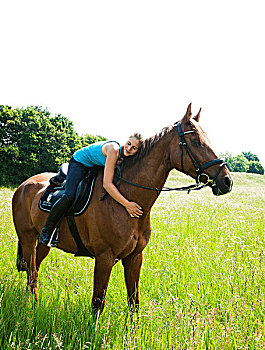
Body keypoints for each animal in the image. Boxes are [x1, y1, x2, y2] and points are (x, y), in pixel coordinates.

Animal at [11, 103, 231, 314]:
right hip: (28, 238)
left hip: (42, 243)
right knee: (31, 271)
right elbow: (97, 303)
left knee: (34, 270)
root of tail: (23, 186)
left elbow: (133, 302)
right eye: (195, 141)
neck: (126, 199)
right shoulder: (104, 258)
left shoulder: (134, 258)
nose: (227, 180)